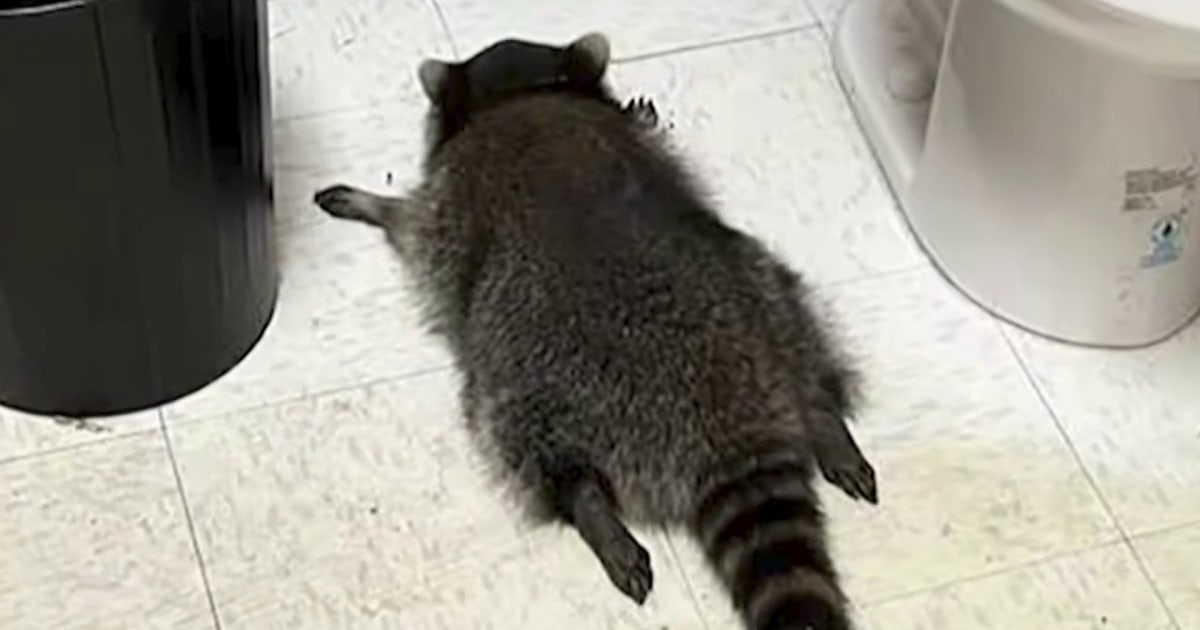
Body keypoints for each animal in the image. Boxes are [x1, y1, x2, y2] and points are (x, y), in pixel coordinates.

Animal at [314, 33, 876, 630]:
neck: (519, 94)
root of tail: (727, 422)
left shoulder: (449, 200)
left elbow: (414, 226)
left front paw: (376, 204)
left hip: (534, 377)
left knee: (526, 443)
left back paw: (591, 509)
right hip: (764, 293)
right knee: (800, 333)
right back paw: (823, 416)